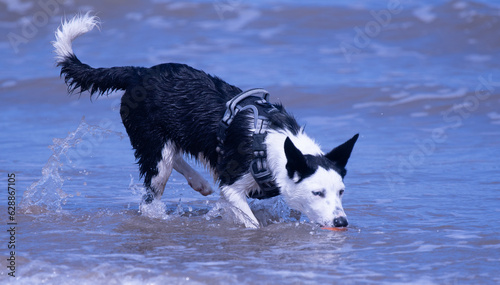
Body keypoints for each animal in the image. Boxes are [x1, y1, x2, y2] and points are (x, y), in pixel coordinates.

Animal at [53, 13, 360, 229]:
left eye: (341, 192)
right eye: (317, 193)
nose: (341, 223)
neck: (272, 142)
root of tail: (138, 73)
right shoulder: (232, 184)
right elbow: (251, 222)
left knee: (173, 154)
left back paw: (199, 182)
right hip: (152, 143)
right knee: (154, 185)